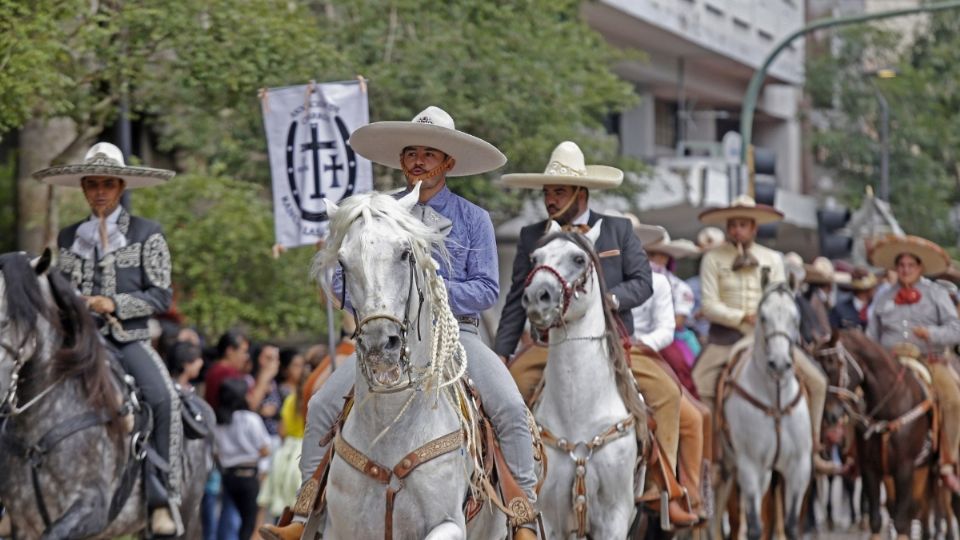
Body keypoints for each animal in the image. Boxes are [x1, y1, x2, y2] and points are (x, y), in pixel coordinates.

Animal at [316, 186, 510, 540]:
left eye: (405, 253)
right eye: (343, 262)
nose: (380, 343)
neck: (389, 432)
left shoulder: (448, 522)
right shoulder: (340, 528)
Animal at [716, 282, 812, 540]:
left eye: (796, 318)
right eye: (763, 317)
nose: (779, 364)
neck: (775, 403)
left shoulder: (799, 466)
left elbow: (791, 526)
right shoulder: (749, 465)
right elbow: (754, 527)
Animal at [812, 330, 932, 536]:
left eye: (835, 364)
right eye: (819, 367)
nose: (830, 415)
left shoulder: (905, 468)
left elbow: (901, 521)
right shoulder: (870, 469)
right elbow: (877, 519)